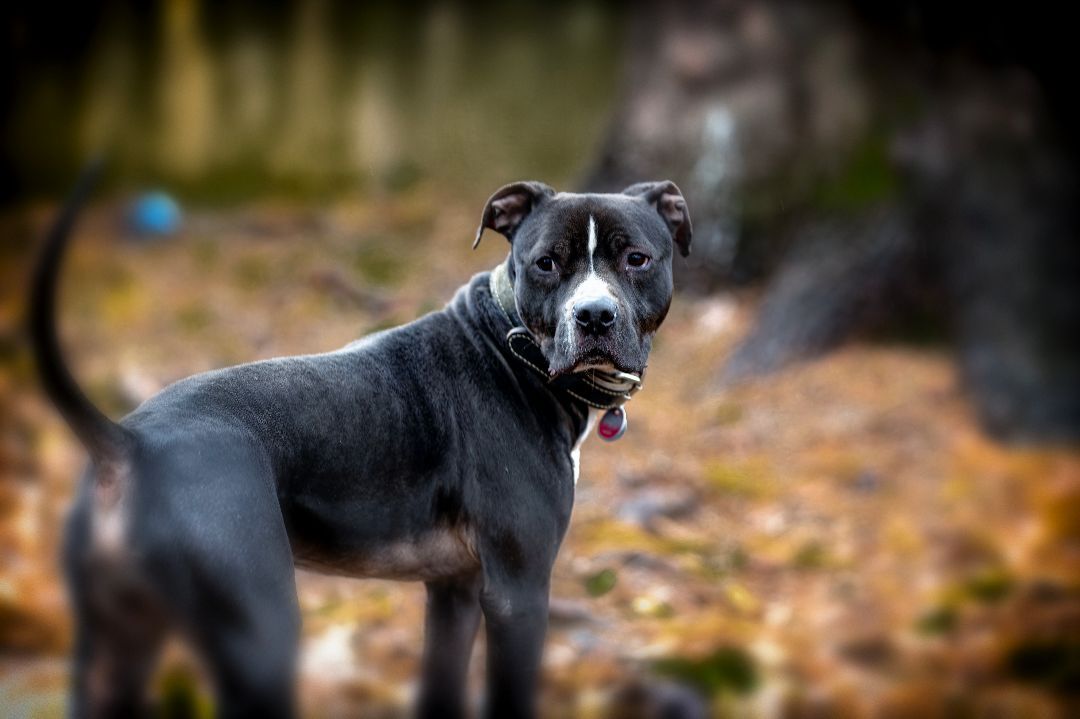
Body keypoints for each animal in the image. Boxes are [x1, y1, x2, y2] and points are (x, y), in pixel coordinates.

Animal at [31, 174, 691, 716]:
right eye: (546, 263)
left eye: (636, 258)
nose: (594, 315)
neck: (513, 343)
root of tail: (130, 444)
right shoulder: (518, 593)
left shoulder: (454, 591)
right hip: (259, 631)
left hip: (118, 641)